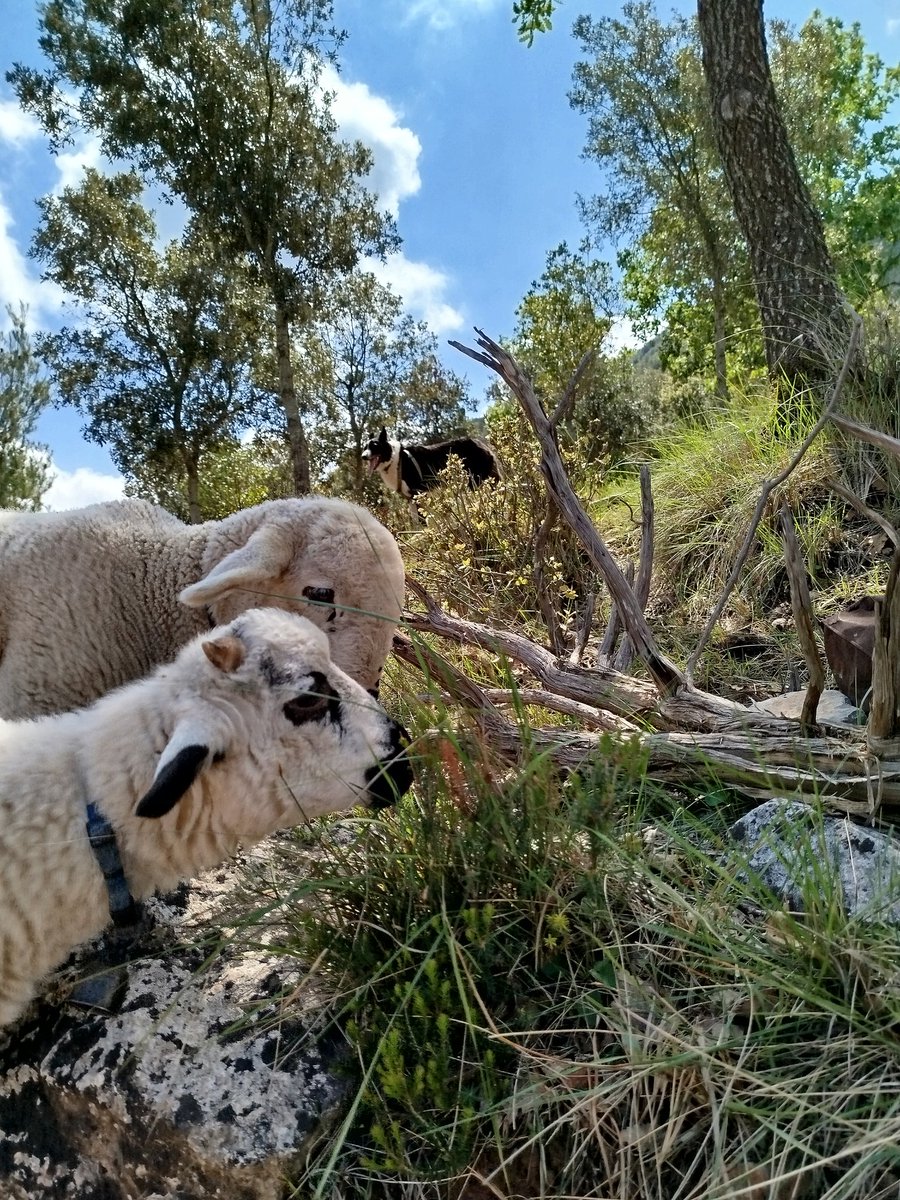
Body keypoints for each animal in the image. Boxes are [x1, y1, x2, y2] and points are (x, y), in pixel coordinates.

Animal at [367, 429, 508, 499]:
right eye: (364, 447)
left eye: (375, 446)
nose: (363, 457)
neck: (394, 460)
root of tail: (481, 444)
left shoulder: (417, 493)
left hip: (476, 481)